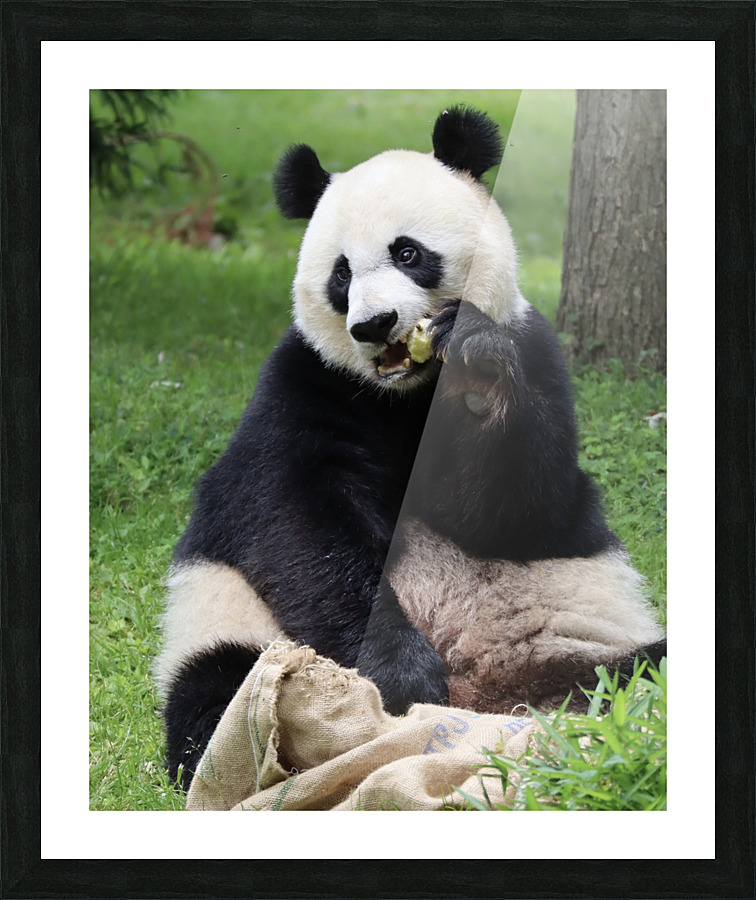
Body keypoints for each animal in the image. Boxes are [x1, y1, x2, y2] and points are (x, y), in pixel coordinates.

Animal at [156, 106, 666, 790]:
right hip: (235, 629)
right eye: (341, 273)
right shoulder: (303, 386)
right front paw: (401, 672)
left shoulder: (535, 353)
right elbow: (295, 516)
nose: (374, 325)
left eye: (408, 252)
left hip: (577, 646)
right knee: (226, 698)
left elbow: (523, 508)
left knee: (644, 672)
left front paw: (478, 379)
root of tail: (483, 698)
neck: (404, 396)